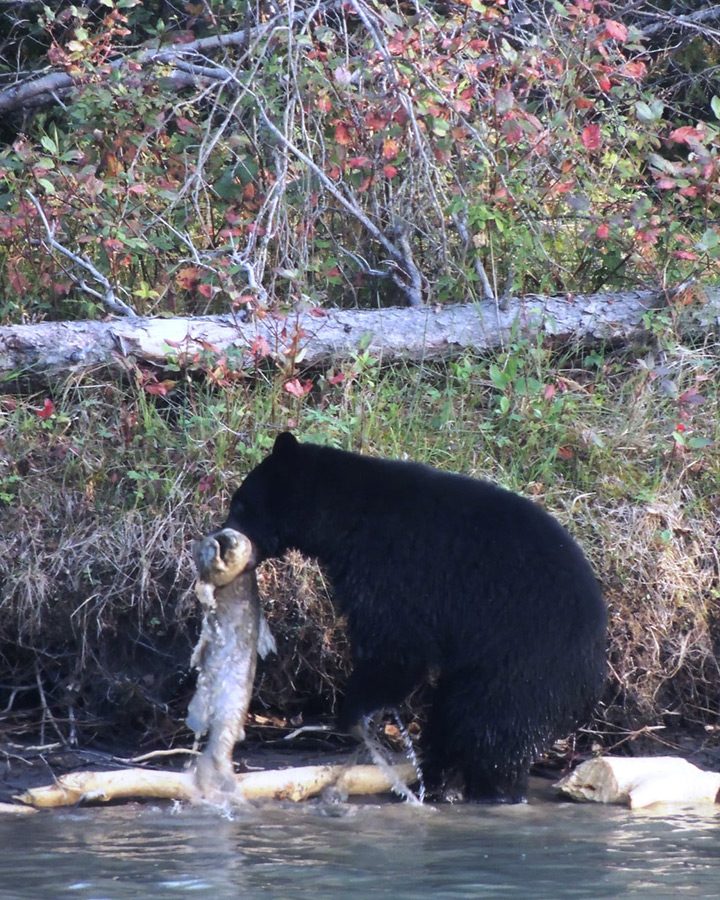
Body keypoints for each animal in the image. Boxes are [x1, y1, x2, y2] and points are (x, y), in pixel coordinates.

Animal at [222, 434, 604, 800]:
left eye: (240, 504)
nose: (220, 537)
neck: (349, 519)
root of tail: (594, 676)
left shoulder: (393, 569)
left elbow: (397, 648)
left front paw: (350, 714)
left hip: (525, 665)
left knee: (492, 728)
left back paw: (490, 791)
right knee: (455, 715)